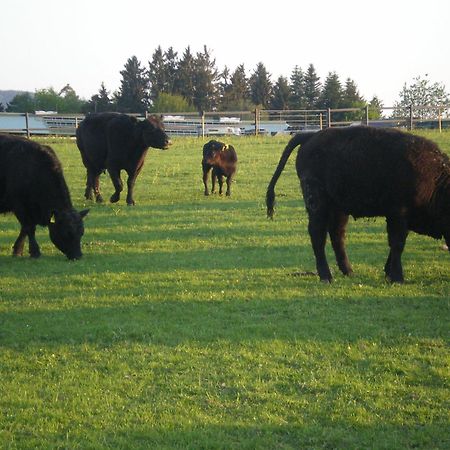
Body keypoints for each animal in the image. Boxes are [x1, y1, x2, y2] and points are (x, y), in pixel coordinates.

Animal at [268, 125, 450, 282]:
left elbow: (394, 245)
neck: (436, 181)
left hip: (339, 208)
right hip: (318, 204)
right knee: (318, 234)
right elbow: (397, 244)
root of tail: (310, 136)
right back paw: (326, 276)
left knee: (337, 235)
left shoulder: (400, 218)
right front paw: (397, 278)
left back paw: (349, 271)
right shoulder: (398, 214)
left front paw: (388, 273)